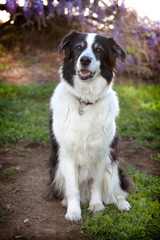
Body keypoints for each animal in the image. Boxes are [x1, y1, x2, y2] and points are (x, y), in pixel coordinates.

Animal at [43, 30, 131, 221]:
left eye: (98, 50)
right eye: (78, 47)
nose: (84, 60)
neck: (85, 102)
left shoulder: (102, 152)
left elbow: (96, 184)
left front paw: (96, 205)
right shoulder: (67, 154)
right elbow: (72, 188)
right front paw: (74, 212)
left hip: (113, 165)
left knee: (117, 191)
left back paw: (120, 203)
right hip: (57, 168)